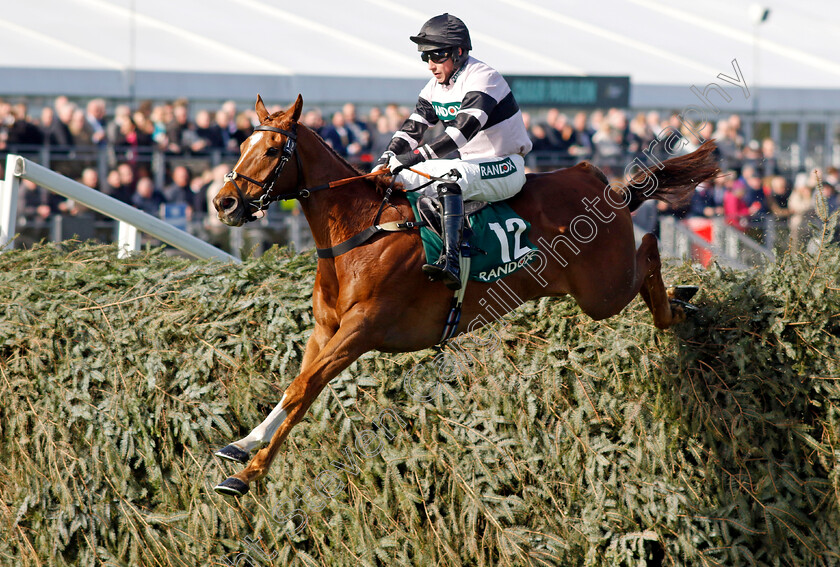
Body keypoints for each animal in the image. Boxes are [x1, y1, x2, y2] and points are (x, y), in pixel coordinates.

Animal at [210, 95, 716, 494]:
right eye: (242, 145)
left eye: (272, 149)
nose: (224, 202)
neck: (360, 231)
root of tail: (601, 181)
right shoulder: (325, 329)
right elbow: (294, 389)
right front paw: (244, 445)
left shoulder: (362, 329)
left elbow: (304, 388)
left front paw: (249, 473)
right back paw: (682, 297)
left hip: (602, 291)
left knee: (649, 250)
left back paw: (680, 299)